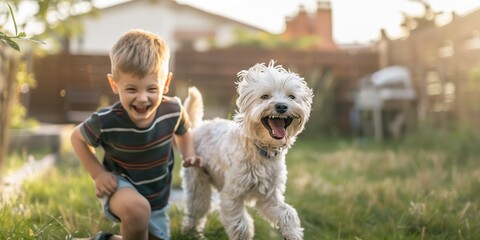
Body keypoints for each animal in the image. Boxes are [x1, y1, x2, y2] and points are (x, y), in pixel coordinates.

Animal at [182, 61, 314, 239]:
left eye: (291, 97)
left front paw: (292, 234)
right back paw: (191, 233)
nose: (281, 106)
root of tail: (198, 128)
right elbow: (241, 225)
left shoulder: (269, 197)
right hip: (198, 185)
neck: (261, 150)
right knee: (195, 210)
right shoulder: (232, 195)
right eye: (265, 96)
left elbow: (288, 213)